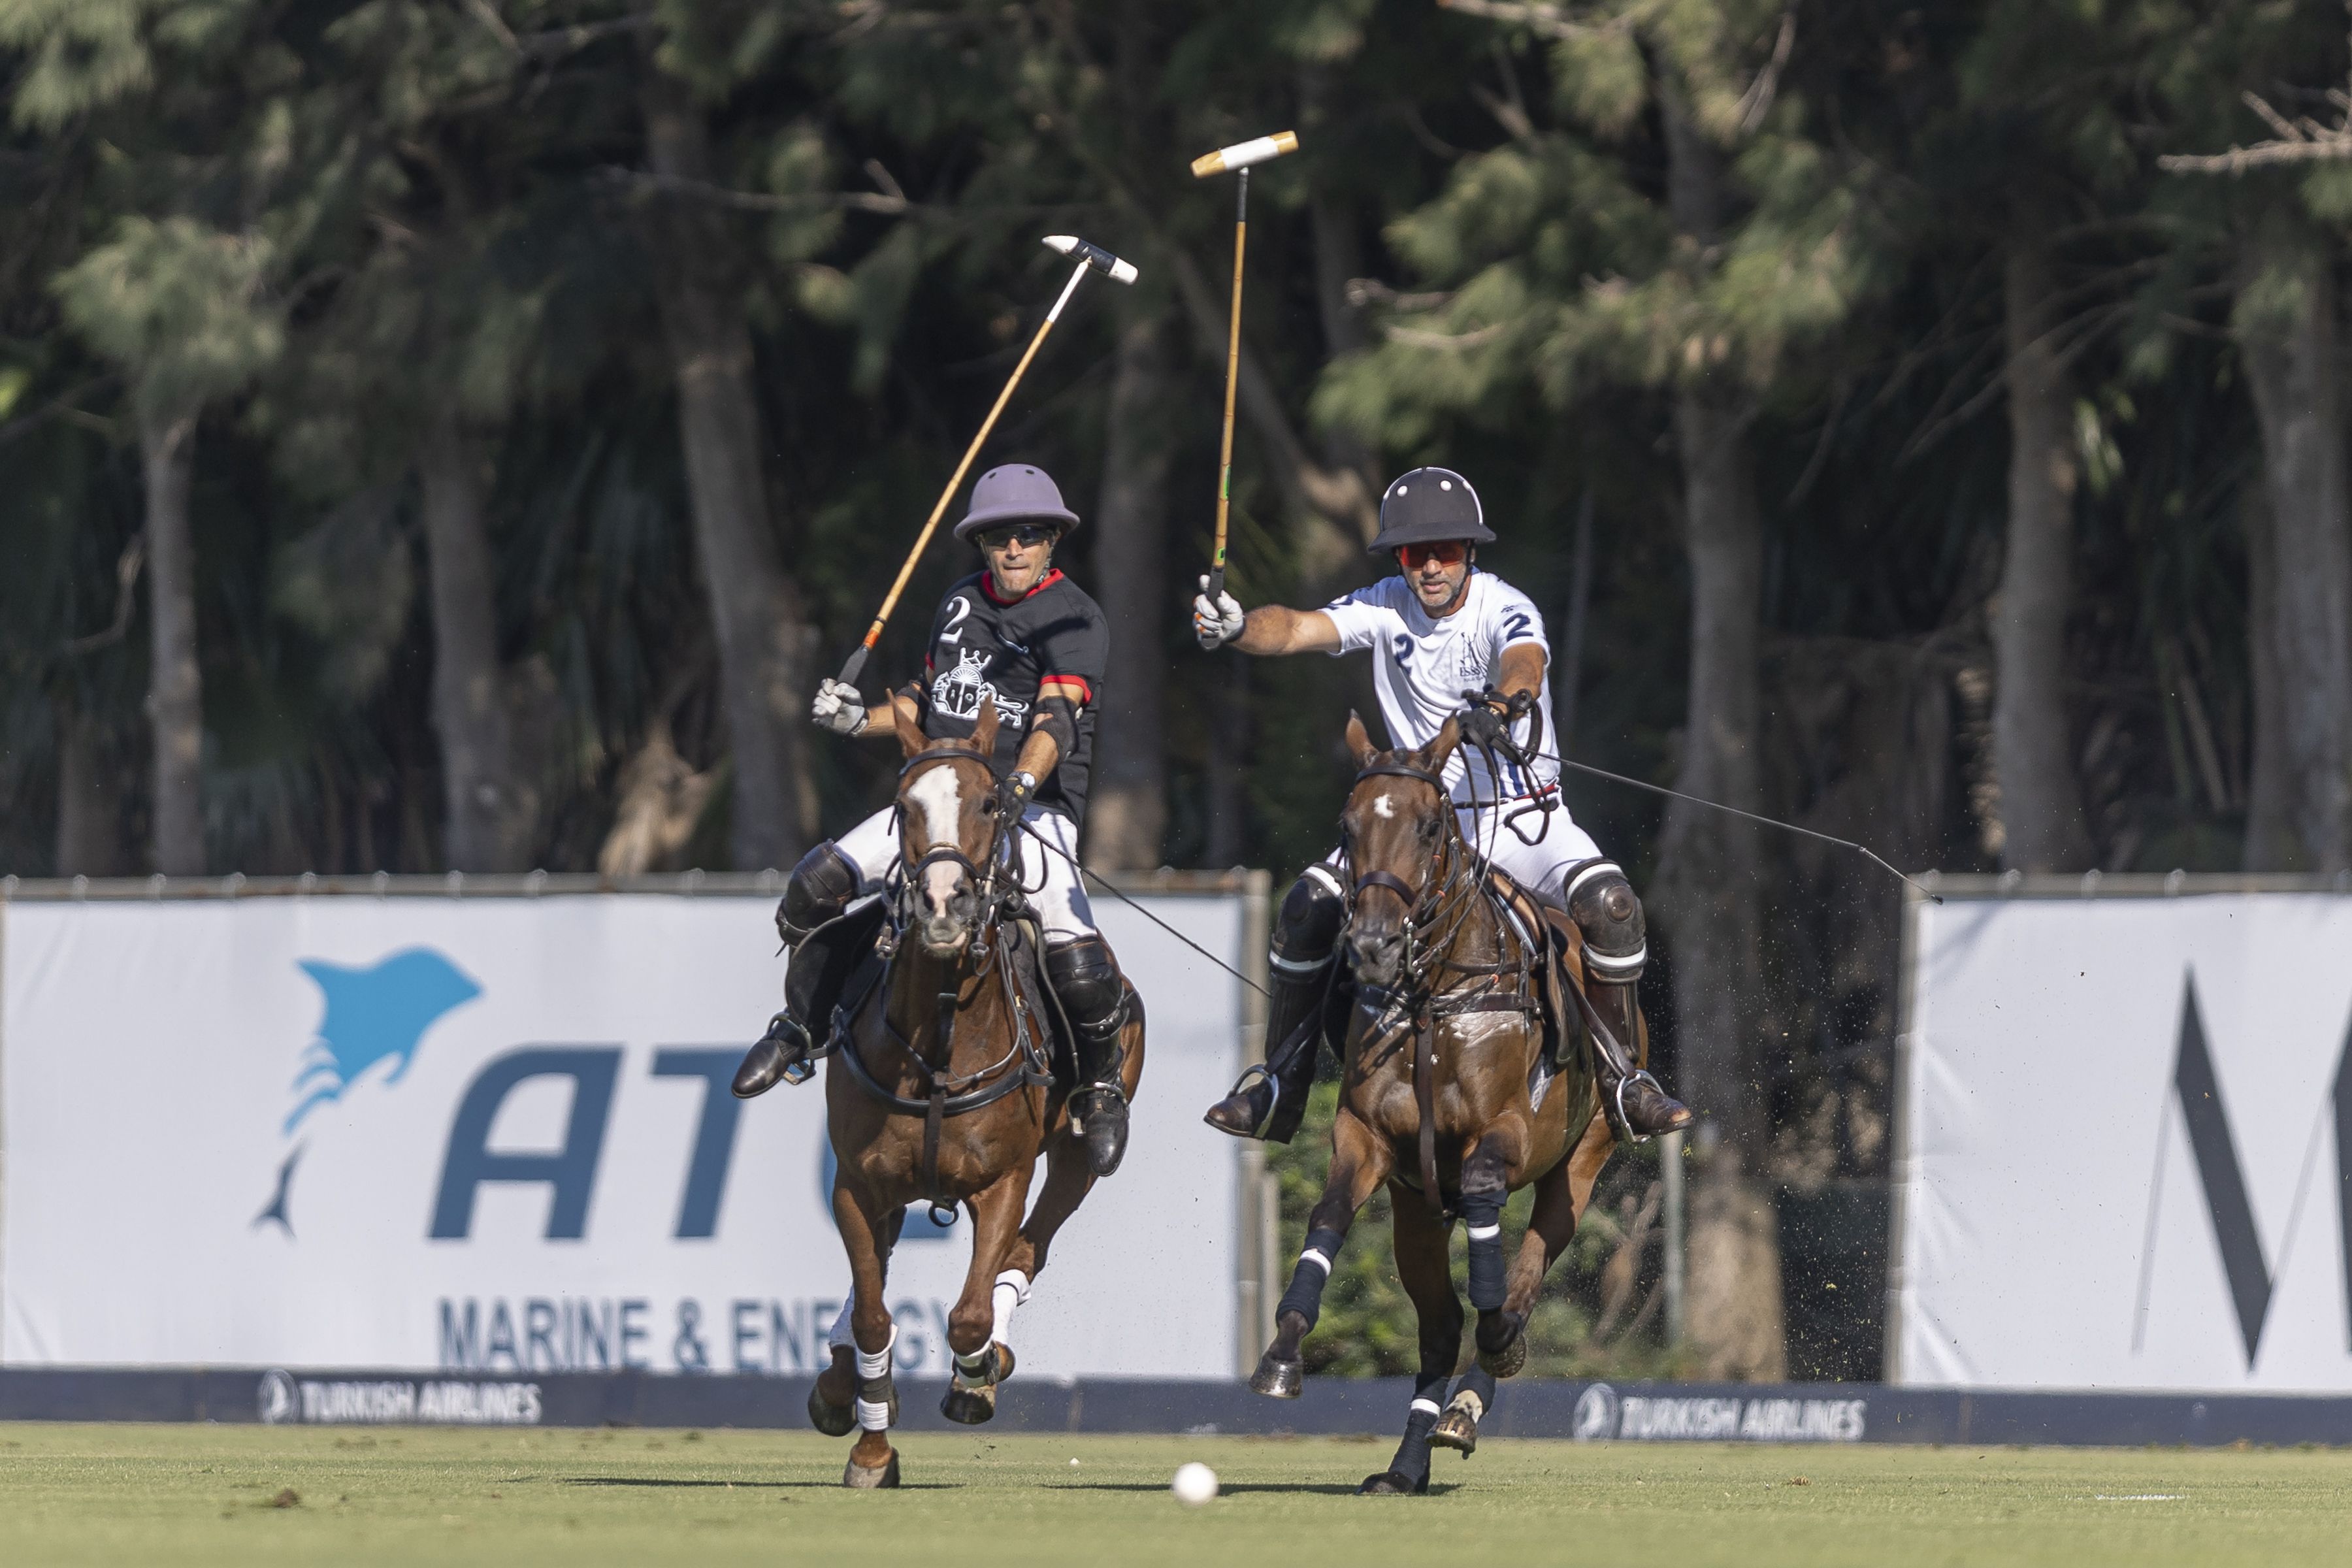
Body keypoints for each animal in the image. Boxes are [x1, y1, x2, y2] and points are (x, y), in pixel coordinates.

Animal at [804, 696, 1143, 1486]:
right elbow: (873, 1312)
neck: (940, 1037)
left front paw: (973, 1377)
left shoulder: (1001, 1181)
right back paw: (842, 1383)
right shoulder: (856, 1183)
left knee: (1029, 1248)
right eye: (904, 805)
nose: (941, 904)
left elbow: (970, 1314)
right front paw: (872, 1447)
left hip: (1077, 1155)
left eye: (992, 803)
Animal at [1251, 714, 1637, 1495]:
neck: (1435, 999)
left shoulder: (1509, 1130)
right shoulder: (1367, 1137)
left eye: (1430, 826)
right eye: (1348, 824)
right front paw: (1283, 1352)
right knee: (1439, 1328)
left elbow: (1493, 1222)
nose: (1372, 944)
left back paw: (1470, 1398)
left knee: (1522, 1282)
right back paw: (1406, 1465)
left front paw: (1498, 1341)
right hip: (1417, 1213)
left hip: (1582, 1163)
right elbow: (1328, 1215)